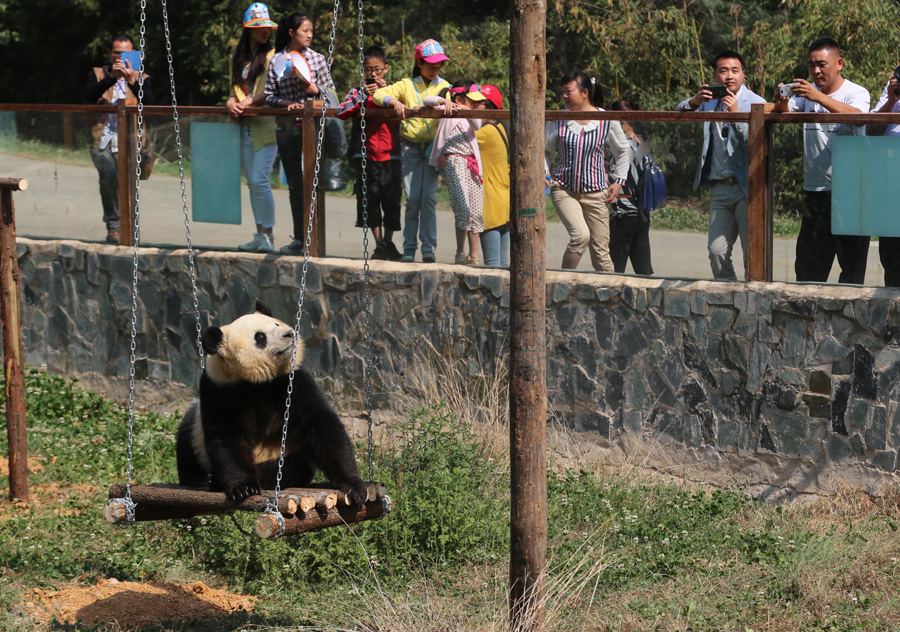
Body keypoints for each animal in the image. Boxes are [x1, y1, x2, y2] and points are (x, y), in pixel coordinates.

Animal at [175, 299, 367, 506]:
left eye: (276, 323)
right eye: (260, 336)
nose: (289, 333)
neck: (257, 380)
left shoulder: (291, 380)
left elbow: (321, 425)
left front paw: (353, 484)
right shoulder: (218, 388)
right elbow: (225, 435)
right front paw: (244, 487)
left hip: (288, 454)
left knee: (289, 468)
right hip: (196, 433)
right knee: (187, 439)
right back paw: (204, 478)